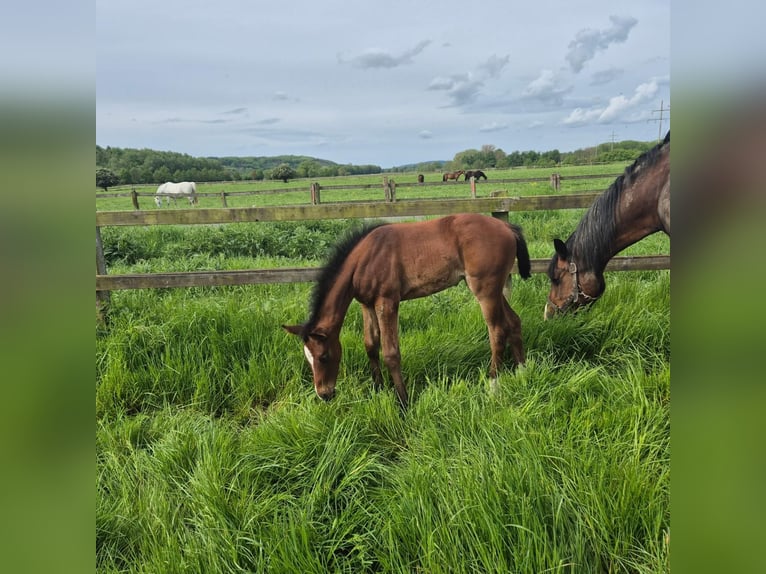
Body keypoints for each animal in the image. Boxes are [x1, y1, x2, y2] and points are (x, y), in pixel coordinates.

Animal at [284, 214, 532, 408]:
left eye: (324, 357)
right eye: (308, 359)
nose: (324, 394)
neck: (364, 259)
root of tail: (507, 227)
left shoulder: (387, 302)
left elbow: (391, 353)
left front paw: (403, 402)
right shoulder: (367, 304)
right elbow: (370, 346)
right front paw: (378, 389)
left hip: (485, 290)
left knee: (497, 331)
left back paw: (493, 386)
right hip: (495, 289)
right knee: (514, 321)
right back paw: (522, 372)